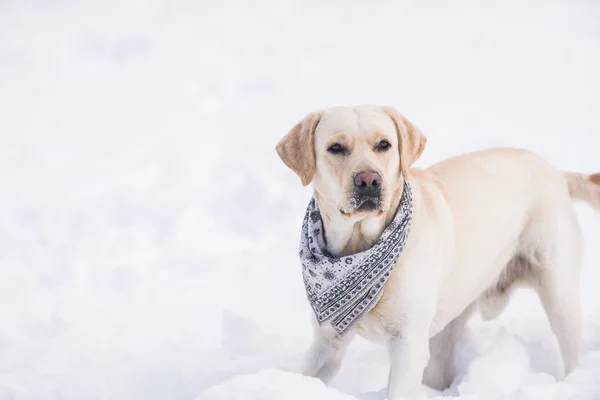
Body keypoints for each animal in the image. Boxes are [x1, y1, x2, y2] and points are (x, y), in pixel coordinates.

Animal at [276, 104, 600, 398]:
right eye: (336, 148)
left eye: (384, 145)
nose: (369, 180)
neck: (361, 246)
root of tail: (555, 171)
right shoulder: (327, 342)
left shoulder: (408, 344)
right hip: (450, 316)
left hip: (559, 293)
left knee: (570, 345)